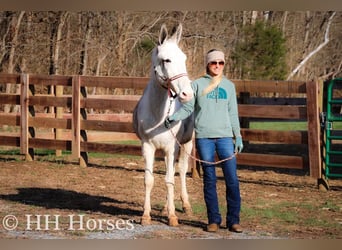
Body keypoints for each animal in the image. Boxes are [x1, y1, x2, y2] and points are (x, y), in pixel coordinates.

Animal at [132, 23, 194, 227]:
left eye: (184, 58)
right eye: (166, 60)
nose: (187, 94)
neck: (159, 115)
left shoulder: (171, 148)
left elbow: (169, 180)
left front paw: (173, 217)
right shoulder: (148, 147)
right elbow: (149, 179)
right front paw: (146, 215)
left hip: (187, 144)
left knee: (180, 171)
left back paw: (184, 205)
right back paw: (167, 208)